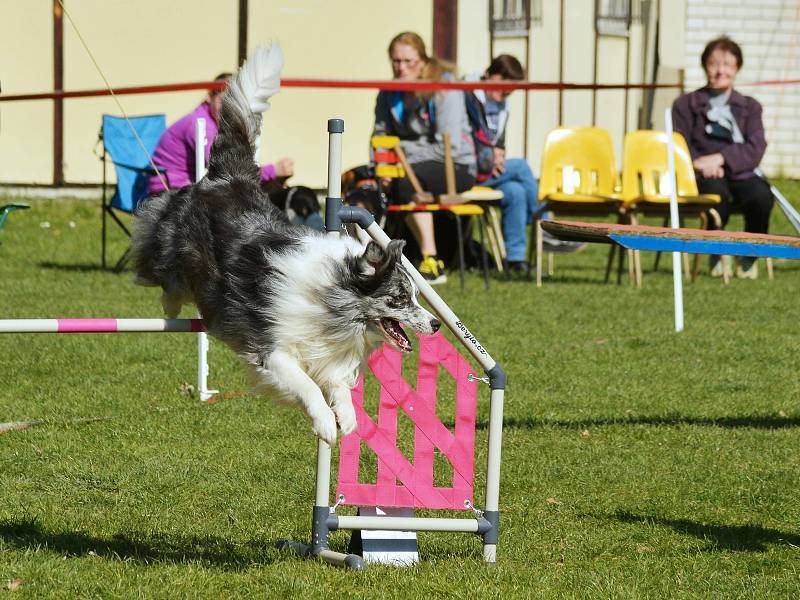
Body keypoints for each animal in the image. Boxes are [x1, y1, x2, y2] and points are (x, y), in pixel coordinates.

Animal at [134, 44, 440, 442]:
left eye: (416, 295)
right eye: (399, 299)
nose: (436, 325)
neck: (331, 298)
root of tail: (229, 175)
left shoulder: (327, 350)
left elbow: (337, 383)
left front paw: (347, 417)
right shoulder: (271, 345)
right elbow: (307, 385)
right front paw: (325, 423)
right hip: (175, 243)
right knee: (161, 268)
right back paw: (168, 304)